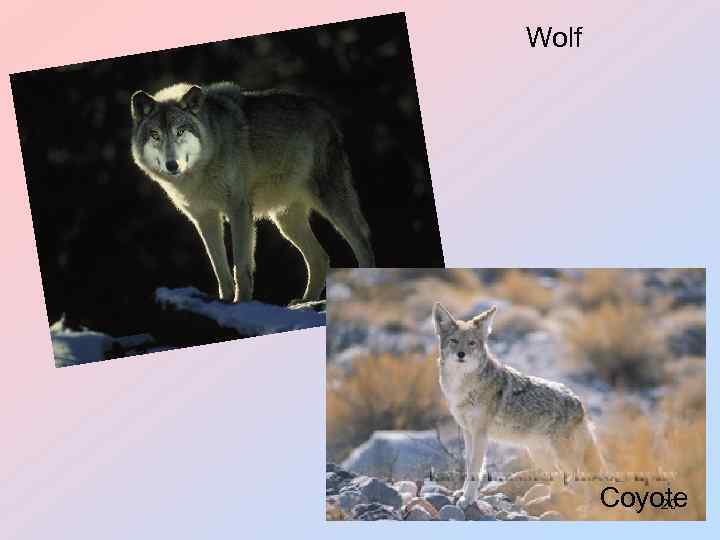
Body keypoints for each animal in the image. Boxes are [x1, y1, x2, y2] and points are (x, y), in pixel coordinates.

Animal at [130, 82, 374, 303]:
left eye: (180, 131)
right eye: (155, 135)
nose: (172, 165)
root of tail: (323, 110)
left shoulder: (239, 210)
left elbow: (241, 266)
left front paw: (242, 302)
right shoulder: (205, 218)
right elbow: (219, 267)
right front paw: (225, 300)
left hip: (331, 204)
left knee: (362, 242)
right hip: (286, 221)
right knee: (320, 257)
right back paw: (306, 301)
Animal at [432, 303, 605, 508]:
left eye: (471, 343)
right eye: (454, 341)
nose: (461, 354)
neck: (462, 386)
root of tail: (579, 402)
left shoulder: (480, 433)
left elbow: (475, 468)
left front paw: (467, 499)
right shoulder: (468, 432)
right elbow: (469, 466)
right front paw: (463, 494)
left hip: (562, 456)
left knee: (581, 479)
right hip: (538, 453)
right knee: (559, 475)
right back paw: (546, 501)